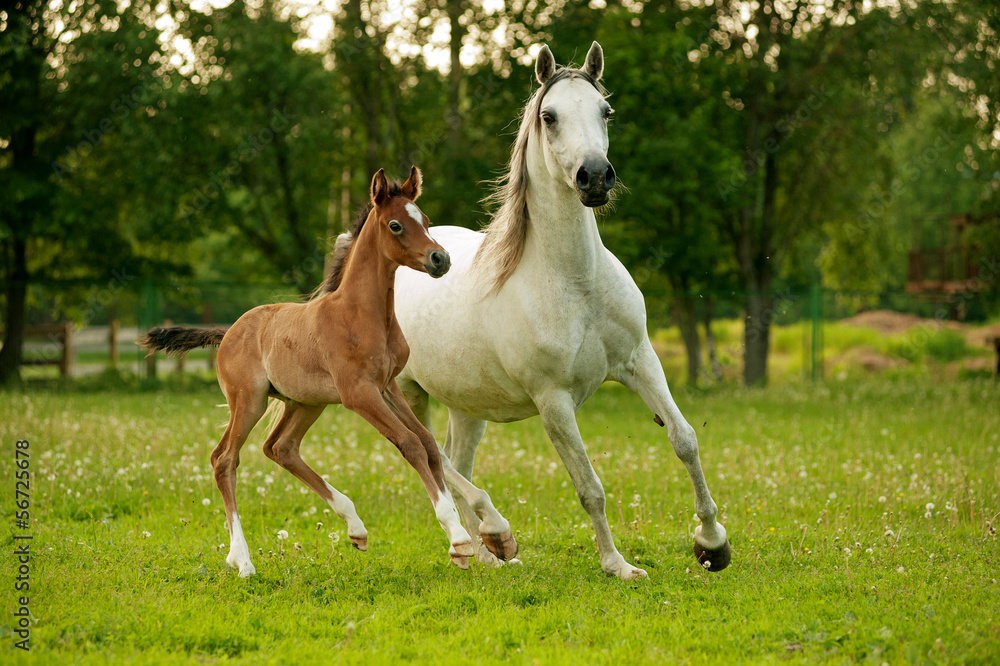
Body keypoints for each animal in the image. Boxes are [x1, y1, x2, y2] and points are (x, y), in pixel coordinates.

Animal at [139, 167, 516, 576]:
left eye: (427, 221)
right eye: (396, 225)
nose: (439, 259)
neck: (362, 315)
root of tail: (228, 332)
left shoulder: (387, 387)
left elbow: (429, 444)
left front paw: (462, 539)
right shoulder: (359, 394)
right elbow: (410, 443)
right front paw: (459, 539)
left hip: (306, 402)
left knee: (280, 448)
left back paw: (355, 527)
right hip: (249, 401)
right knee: (224, 459)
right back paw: (242, 560)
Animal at [394, 44, 732, 580]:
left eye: (605, 111)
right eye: (549, 116)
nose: (594, 177)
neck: (577, 283)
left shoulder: (641, 360)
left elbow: (684, 440)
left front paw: (712, 543)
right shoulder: (554, 402)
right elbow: (590, 488)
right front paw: (618, 566)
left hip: (467, 407)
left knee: (453, 462)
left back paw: (486, 553)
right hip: (404, 394)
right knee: (428, 454)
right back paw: (497, 533)